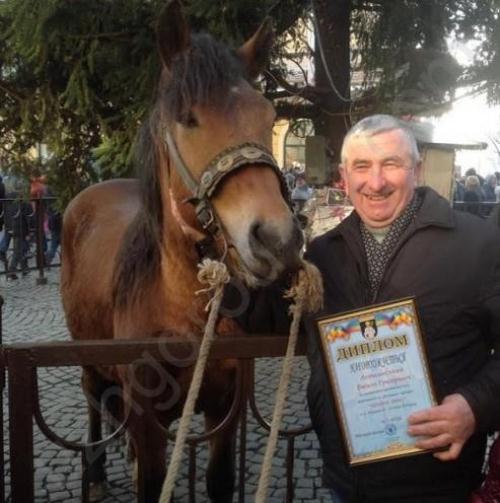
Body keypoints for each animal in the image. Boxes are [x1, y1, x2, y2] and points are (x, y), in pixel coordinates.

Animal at [60, 1, 302, 502]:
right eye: (189, 117)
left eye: (267, 114)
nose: (278, 238)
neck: (181, 308)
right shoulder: (147, 419)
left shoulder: (226, 408)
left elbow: (219, 480)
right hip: (85, 349)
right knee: (92, 394)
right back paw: (95, 472)